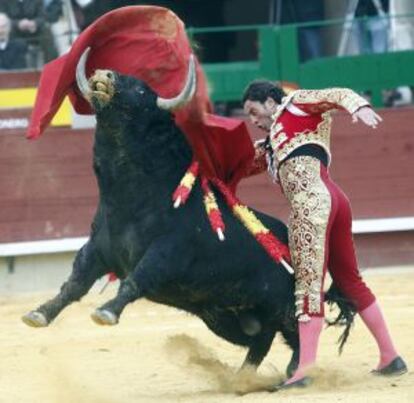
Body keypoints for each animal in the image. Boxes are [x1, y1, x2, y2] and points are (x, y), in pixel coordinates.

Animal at [21, 63, 354, 376]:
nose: (104, 74)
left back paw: (297, 372)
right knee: (261, 338)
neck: (128, 201)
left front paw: (106, 312)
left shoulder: (165, 253)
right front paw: (39, 314)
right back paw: (243, 378)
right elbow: (74, 284)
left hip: (283, 304)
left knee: (297, 333)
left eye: (141, 90)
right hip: (225, 317)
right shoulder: (95, 251)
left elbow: (134, 280)